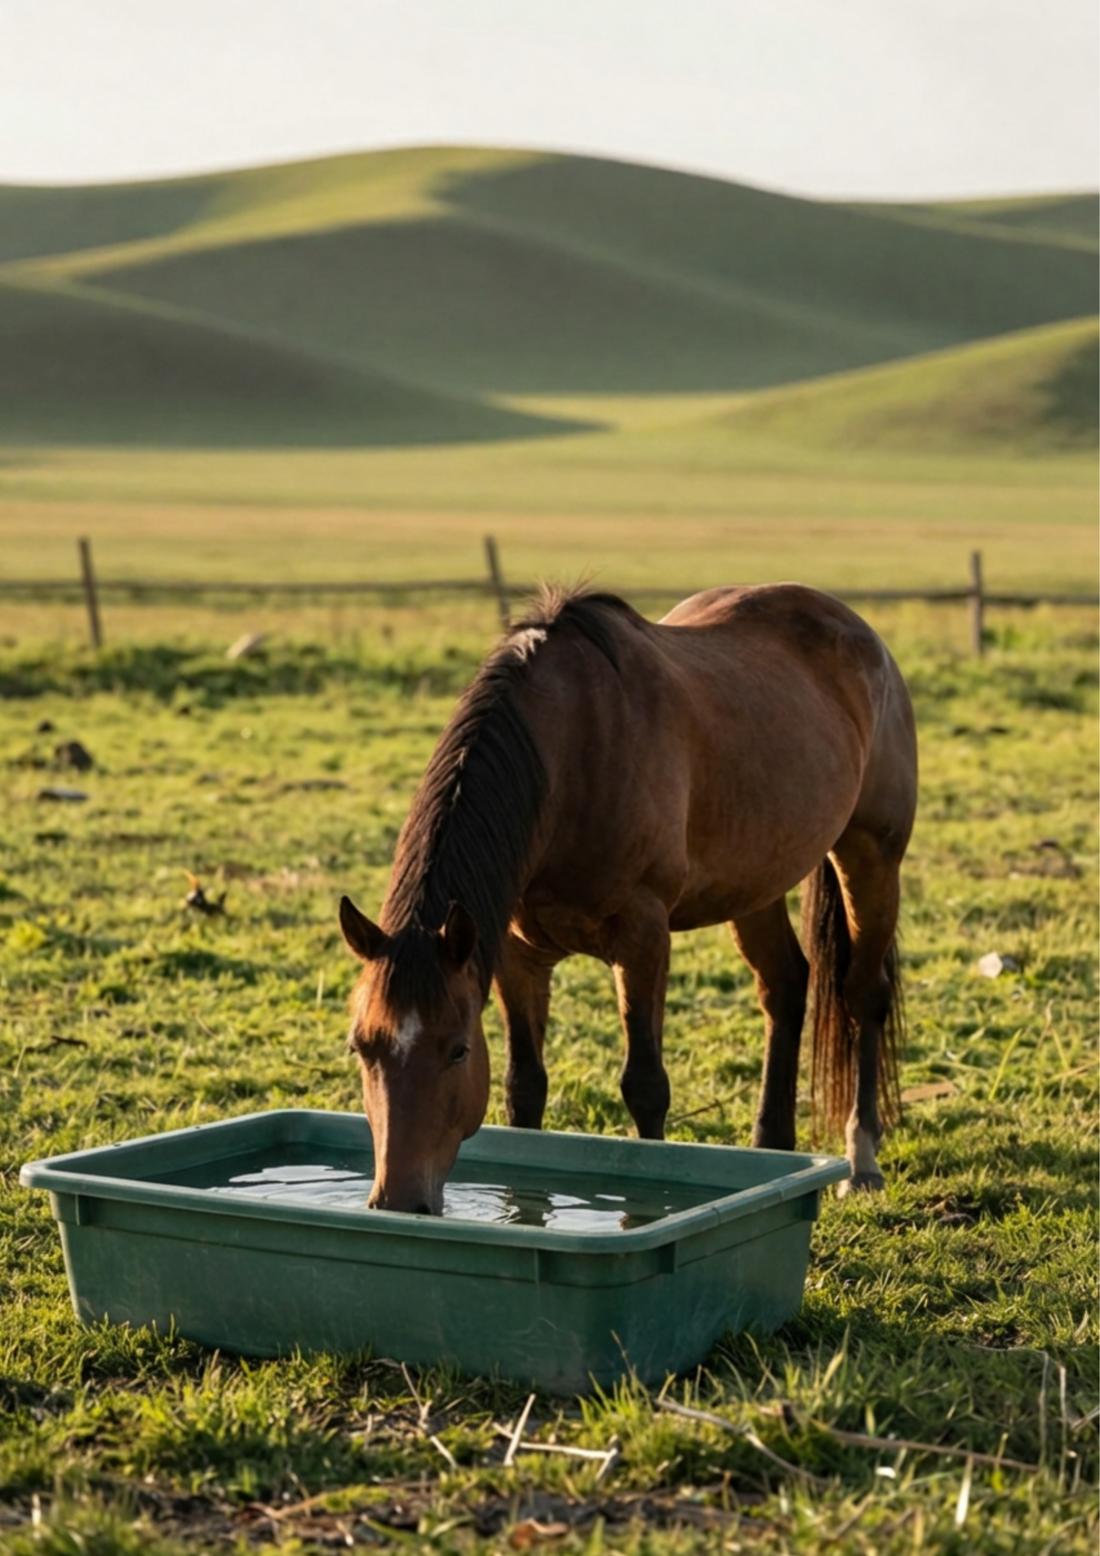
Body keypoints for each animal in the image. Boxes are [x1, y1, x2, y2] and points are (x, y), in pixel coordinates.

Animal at [339, 584, 917, 1214]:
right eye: (361, 1047)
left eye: (459, 1051)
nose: (399, 1201)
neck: (568, 759)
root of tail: (858, 630)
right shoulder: (517, 957)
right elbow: (525, 1086)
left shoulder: (642, 935)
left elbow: (645, 1086)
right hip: (755, 881)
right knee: (784, 986)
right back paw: (771, 1149)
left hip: (871, 855)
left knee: (864, 994)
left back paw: (862, 1161)